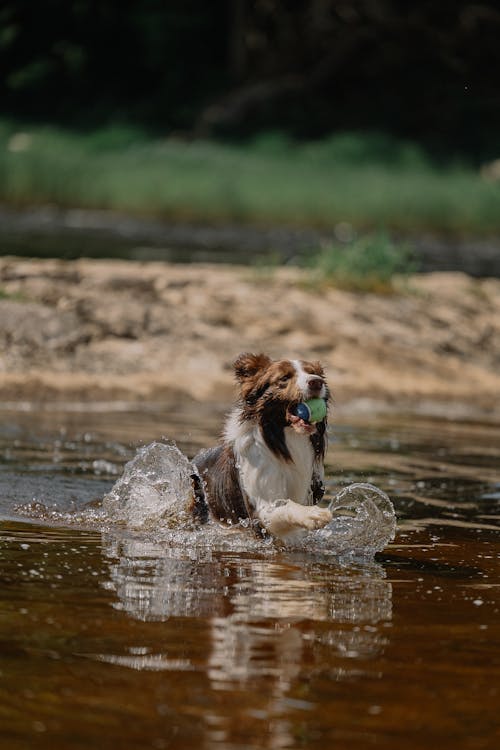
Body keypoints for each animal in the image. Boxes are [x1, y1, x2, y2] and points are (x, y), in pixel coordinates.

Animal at [193, 356, 334, 544]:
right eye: (284, 378)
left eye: (313, 373)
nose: (317, 382)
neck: (282, 439)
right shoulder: (259, 512)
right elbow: (285, 506)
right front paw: (312, 514)